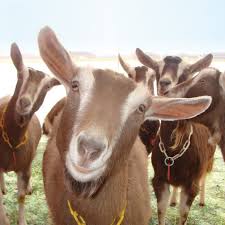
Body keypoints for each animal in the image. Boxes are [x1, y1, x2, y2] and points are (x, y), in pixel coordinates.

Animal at [0, 43, 59, 224]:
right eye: (19, 74)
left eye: (47, 86)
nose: (24, 102)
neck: (12, 141)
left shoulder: (24, 166)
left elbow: (20, 196)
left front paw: (22, 220)